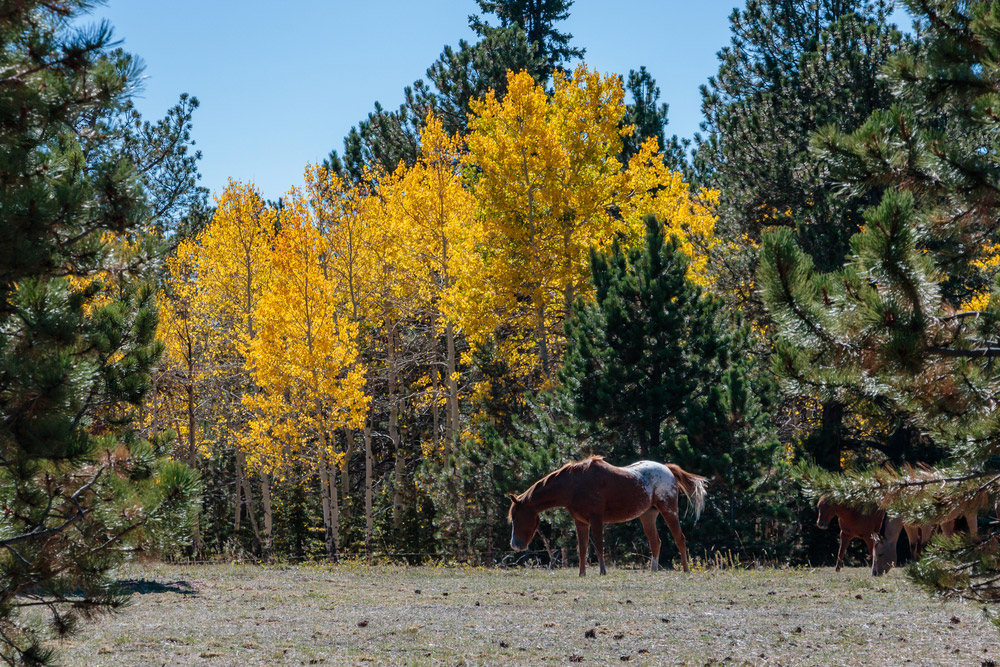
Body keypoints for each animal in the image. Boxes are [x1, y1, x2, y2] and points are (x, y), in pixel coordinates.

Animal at [504, 456, 708, 576]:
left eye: (517, 517)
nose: (514, 545)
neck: (573, 485)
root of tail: (667, 469)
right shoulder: (580, 522)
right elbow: (582, 548)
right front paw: (582, 573)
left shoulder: (596, 518)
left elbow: (598, 545)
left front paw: (602, 571)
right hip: (648, 515)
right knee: (655, 542)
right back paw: (653, 571)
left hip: (668, 510)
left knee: (679, 538)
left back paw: (686, 570)